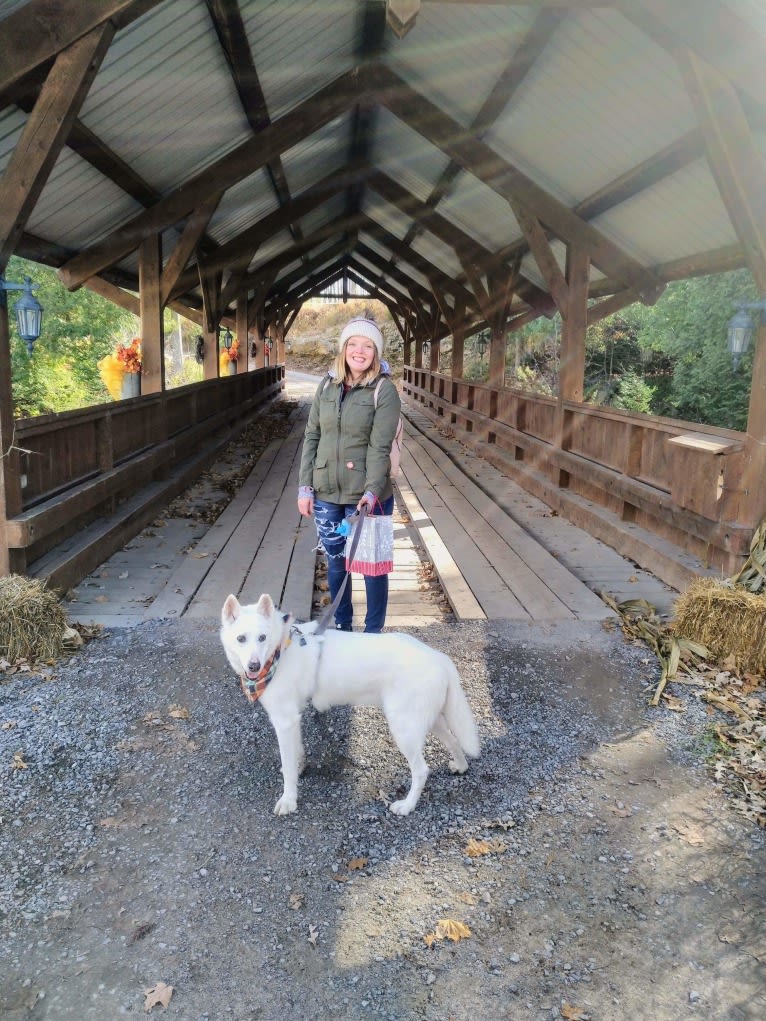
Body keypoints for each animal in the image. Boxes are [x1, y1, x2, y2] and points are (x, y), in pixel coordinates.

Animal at [218, 596, 480, 816]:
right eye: (241, 639)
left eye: (262, 638)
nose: (253, 666)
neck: (281, 648)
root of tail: (438, 657)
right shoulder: (293, 720)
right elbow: (296, 753)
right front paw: (299, 768)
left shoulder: (284, 721)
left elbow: (288, 766)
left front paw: (289, 799)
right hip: (427, 721)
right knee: (453, 740)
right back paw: (460, 765)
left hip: (404, 728)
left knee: (421, 770)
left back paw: (407, 806)